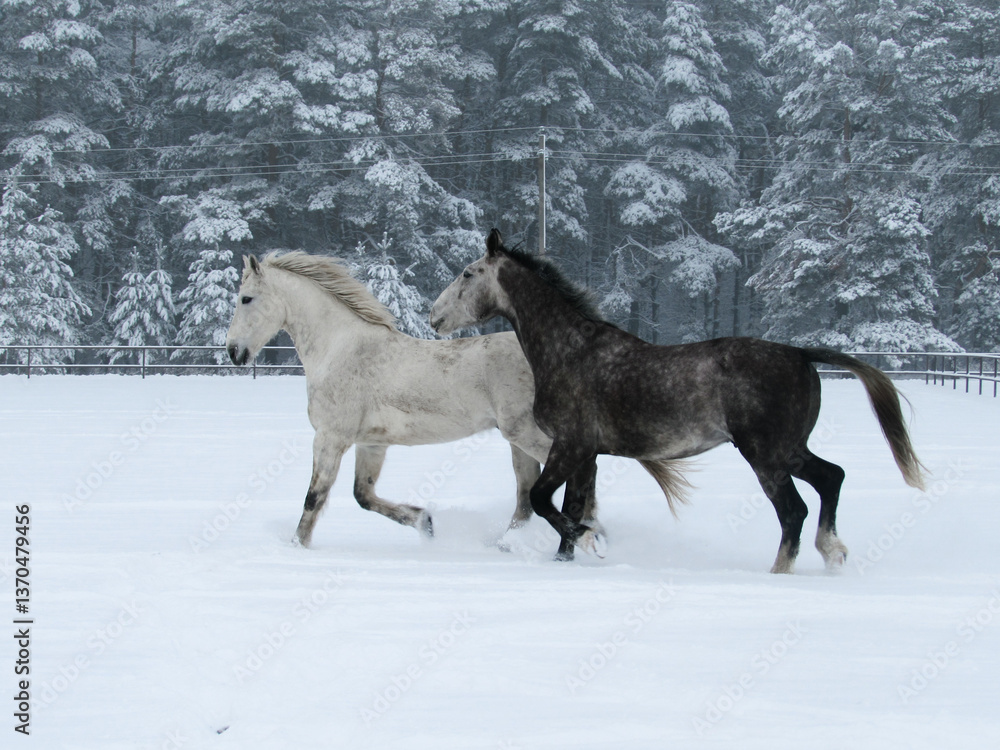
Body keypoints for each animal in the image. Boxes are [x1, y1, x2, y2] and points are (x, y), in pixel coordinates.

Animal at [225, 250, 605, 556]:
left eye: (246, 298)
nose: (233, 352)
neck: (340, 349)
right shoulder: (371, 443)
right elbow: (363, 496)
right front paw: (426, 523)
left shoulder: (330, 438)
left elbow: (314, 497)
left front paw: (296, 548)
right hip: (516, 440)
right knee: (527, 496)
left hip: (527, 433)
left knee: (581, 471)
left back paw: (588, 535)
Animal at [429, 229, 927, 574]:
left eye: (468, 273)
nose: (434, 316)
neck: (571, 349)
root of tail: (800, 353)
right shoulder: (586, 453)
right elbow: (568, 509)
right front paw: (569, 558)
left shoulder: (569, 445)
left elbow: (543, 501)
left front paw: (591, 542)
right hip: (790, 449)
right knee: (831, 478)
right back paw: (833, 551)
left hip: (765, 454)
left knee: (794, 511)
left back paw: (780, 571)